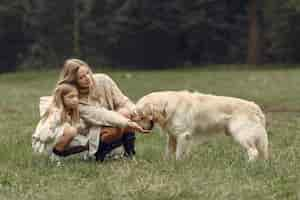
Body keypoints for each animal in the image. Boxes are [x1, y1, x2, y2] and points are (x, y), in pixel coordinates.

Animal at [132, 90, 268, 161]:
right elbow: (169, 152)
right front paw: (167, 163)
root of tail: (255, 107)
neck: (166, 105)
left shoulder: (183, 135)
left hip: (241, 134)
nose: (145, 129)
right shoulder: (172, 136)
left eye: (141, 116)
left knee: (253, 152)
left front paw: (177, 164)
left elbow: (178, 154)